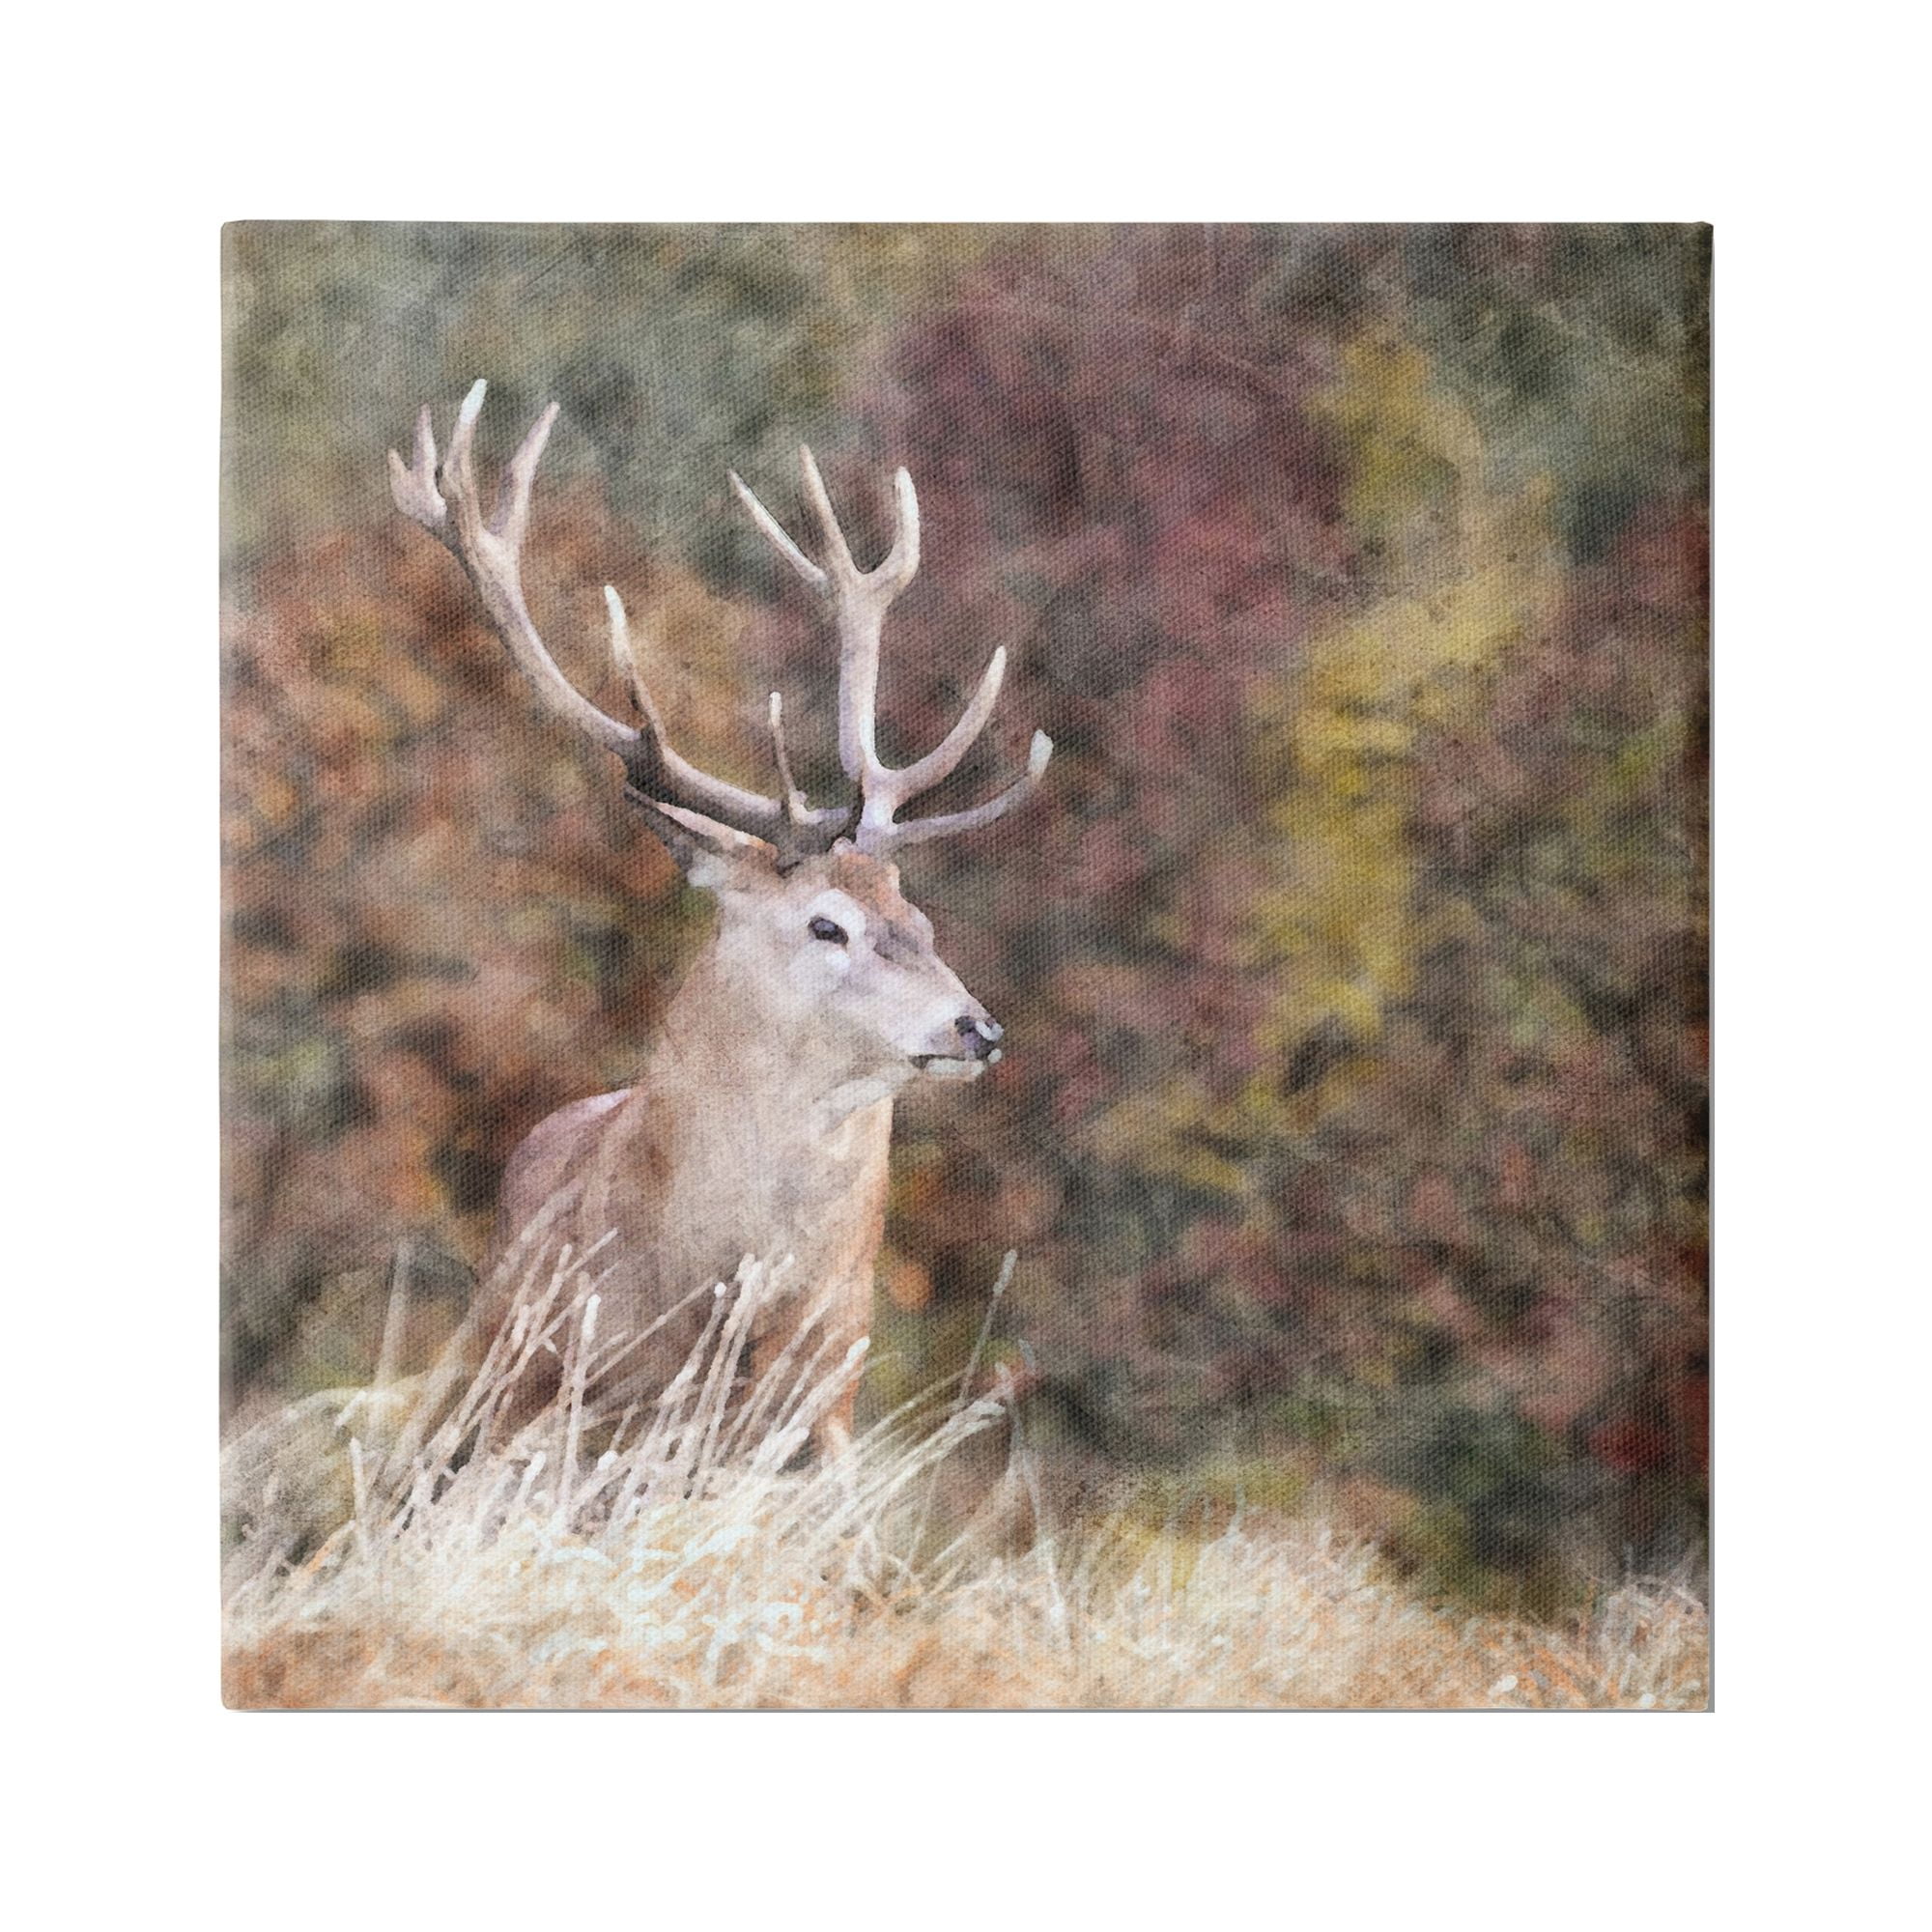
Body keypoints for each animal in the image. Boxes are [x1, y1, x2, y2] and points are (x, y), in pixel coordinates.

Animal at [387, 381, 1051, 1455]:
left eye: (918, 916)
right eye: (825, 924)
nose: (976, 1026)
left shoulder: (823, 1409)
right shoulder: (567, 1395)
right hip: (477, 1373)